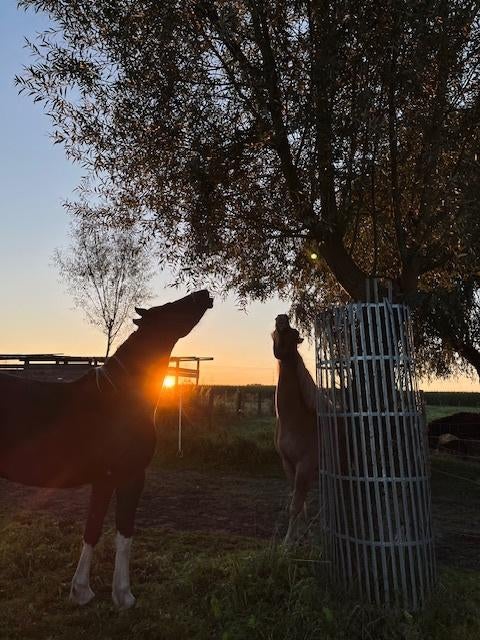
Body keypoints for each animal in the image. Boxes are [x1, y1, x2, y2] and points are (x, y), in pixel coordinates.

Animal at [0, 289, 213, 608]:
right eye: (169, 308)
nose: (205, 294)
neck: (120, 398)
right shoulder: (130, 477)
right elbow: (124, 532)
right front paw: (124, 596)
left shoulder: (103, 480)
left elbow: (92, 529)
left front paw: (81, 591)